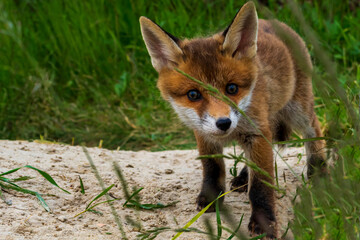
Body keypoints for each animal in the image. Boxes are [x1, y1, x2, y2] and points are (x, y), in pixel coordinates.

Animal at [140, 1, 326, 238]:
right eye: (193, 95)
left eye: (231, 88)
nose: (223, 123)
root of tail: (274, 22)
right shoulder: (204, 134)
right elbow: (212, 168)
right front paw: (211, 200)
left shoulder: (257, 132)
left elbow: (261, 186)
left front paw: (264, 224)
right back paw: (244, 177)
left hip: (298, 110)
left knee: (314, 131)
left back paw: (319, 171)